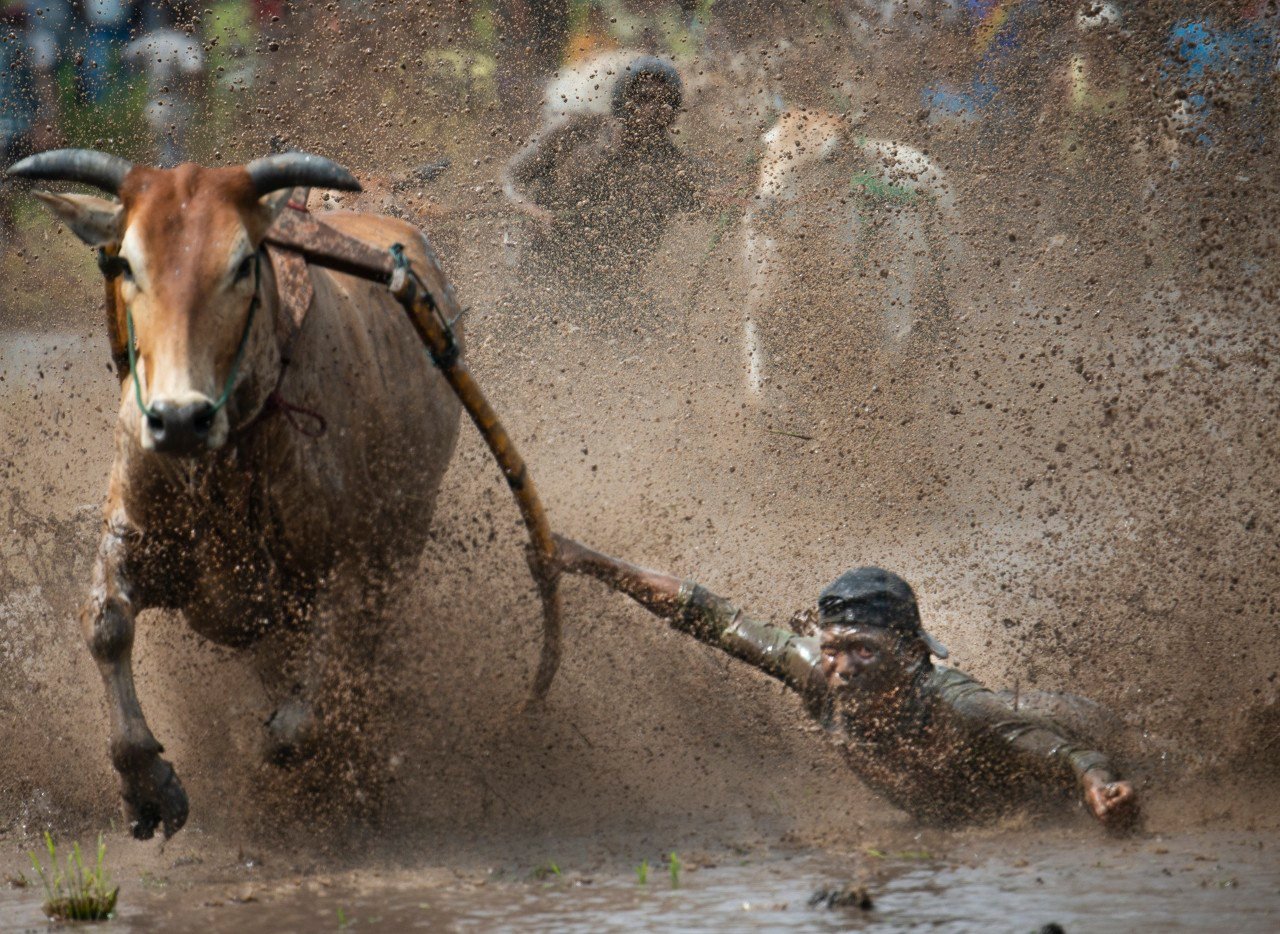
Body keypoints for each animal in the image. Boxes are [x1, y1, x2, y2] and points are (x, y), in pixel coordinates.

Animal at [6, 147, 465, 839]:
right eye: (125, 262)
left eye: (243, 262)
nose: (178, 418)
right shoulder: (134, 528)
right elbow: (105, 624)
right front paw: (146, 784)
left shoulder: (350, 564)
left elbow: (303, 712)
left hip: (408, 529)